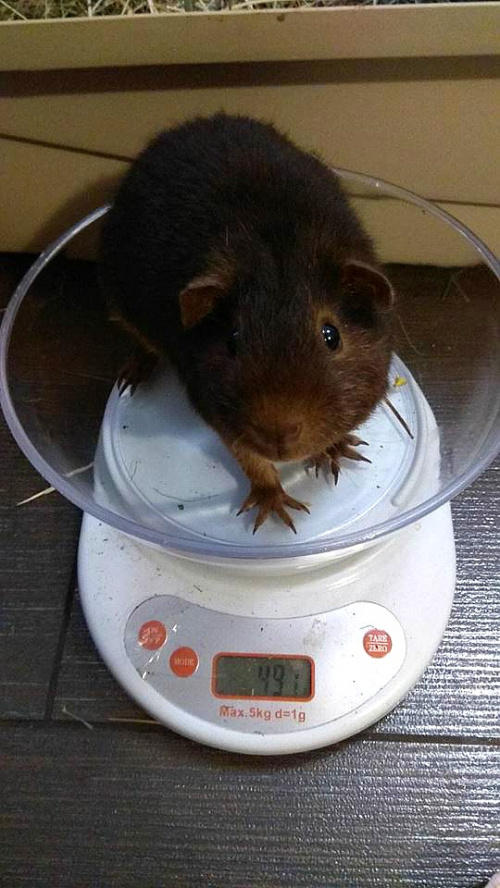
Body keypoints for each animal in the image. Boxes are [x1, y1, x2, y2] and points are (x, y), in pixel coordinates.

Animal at [100, 114, 394, 533]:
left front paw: (341, 453)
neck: (277, 244)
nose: (278, 432)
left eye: (331, 335)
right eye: (233, 339)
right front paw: (277, 512)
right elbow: (252, 461)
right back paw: (130, 379)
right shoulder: (219, 415)